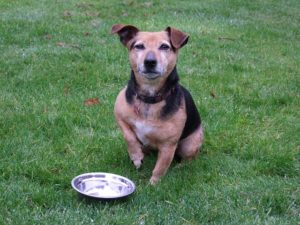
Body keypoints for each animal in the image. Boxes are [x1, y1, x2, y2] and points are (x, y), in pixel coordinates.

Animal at [112, 23, 204, 184]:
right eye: (139, 46)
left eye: (164, 46)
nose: (150, 62)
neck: (150, 98)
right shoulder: (119, 116)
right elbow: (129, 136)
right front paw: (136, 157)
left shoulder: (168, 145)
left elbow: (160, 168)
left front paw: (153, 185)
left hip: (190, 144)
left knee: (188, 158)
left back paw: (180, 167)